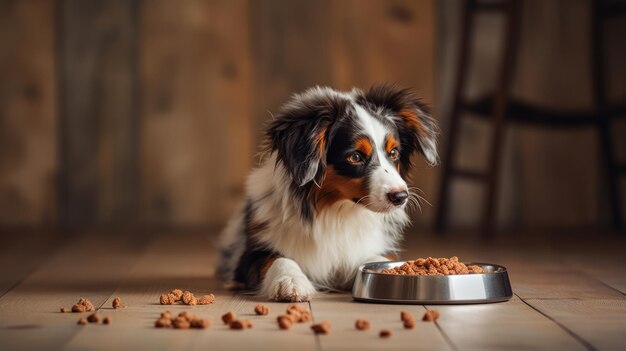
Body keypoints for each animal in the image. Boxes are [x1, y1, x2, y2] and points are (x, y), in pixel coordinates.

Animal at [217, 84, 436, 302]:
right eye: (355, 157)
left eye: (394, 153)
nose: (401, 197)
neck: (335, 212)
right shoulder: (251, 254)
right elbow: (277, 258)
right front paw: (290, 281)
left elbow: (376, 259)